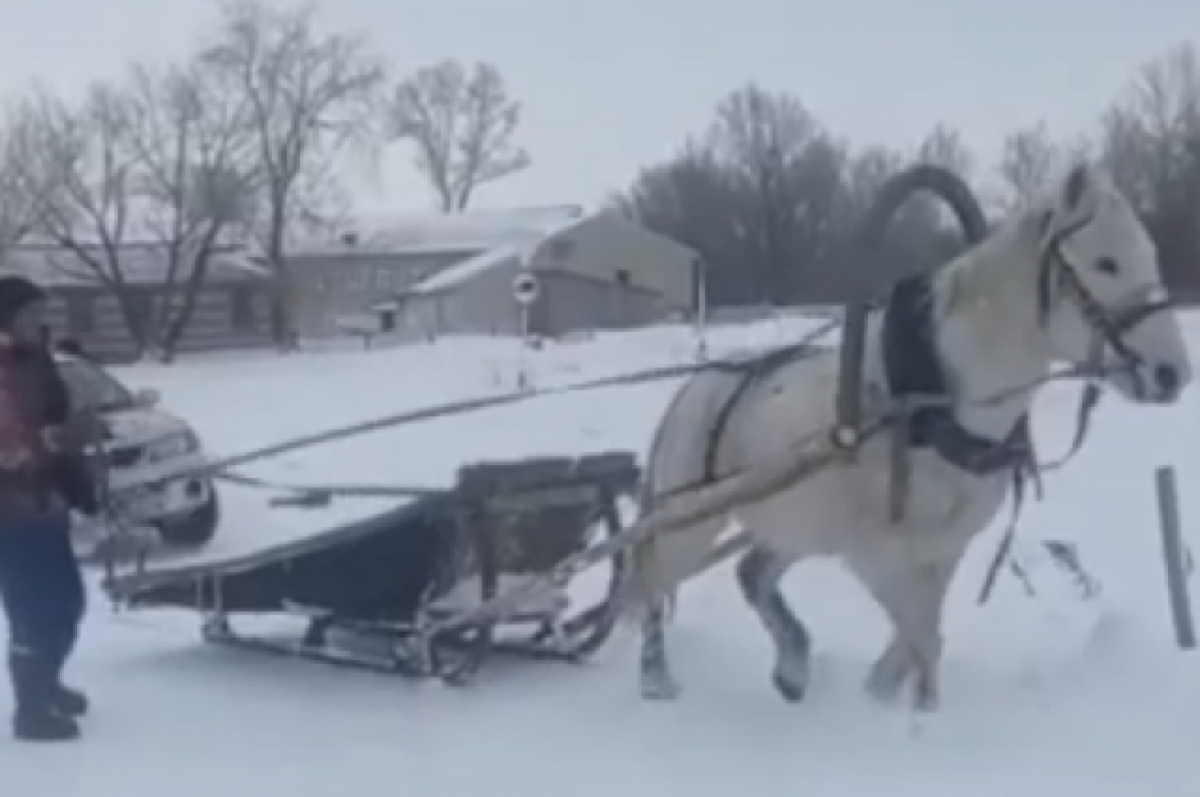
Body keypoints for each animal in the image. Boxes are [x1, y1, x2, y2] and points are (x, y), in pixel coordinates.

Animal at [633, 164, 1185, 710]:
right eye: (1106, 262)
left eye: (1151, 256)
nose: (1172, 374)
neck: (933, 406)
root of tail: (696, 385)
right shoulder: (877, 555)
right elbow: (924, 638)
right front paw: (923, 719)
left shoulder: (945, 546)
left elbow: (920, 634)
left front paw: (883, 691)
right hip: (691, 521)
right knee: (654, 579)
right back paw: (656, 678)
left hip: (796, 523)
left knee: (750, 572)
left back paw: (792, 666)